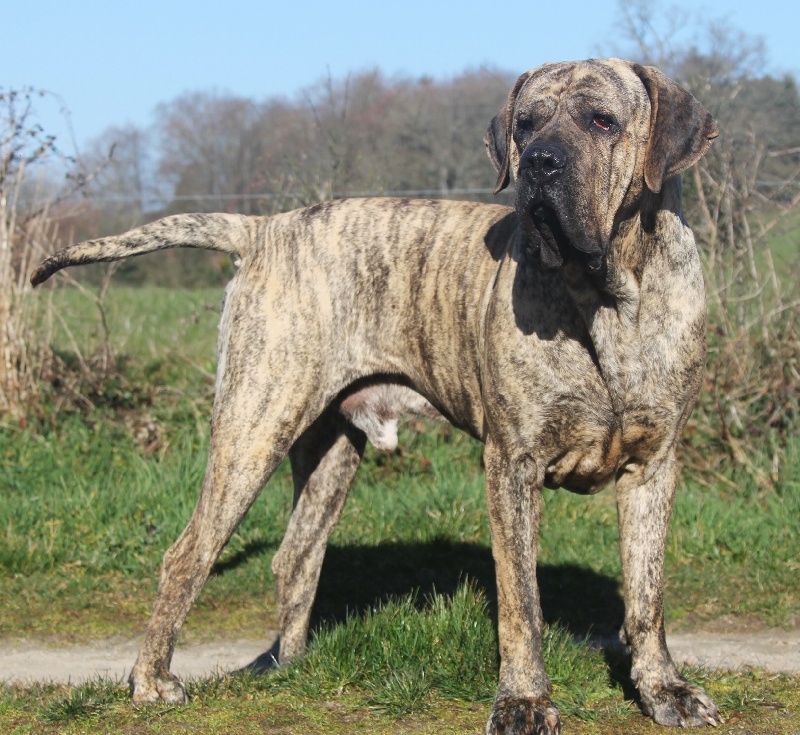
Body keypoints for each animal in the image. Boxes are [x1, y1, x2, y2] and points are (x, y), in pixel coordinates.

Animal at [31, 59, 720, 735]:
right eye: (525, 125)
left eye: (602, 121)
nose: (539, 163)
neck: (609, 298)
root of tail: (264, 228)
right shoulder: (512, 465)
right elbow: (521, 602)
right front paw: (524, 702)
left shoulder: (654, 466)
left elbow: (647, 597)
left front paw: (664, 690)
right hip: (252, 431)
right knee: (186, 555)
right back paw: (152, 681)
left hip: (331, 453)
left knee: (295, 557)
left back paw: (288, 668)